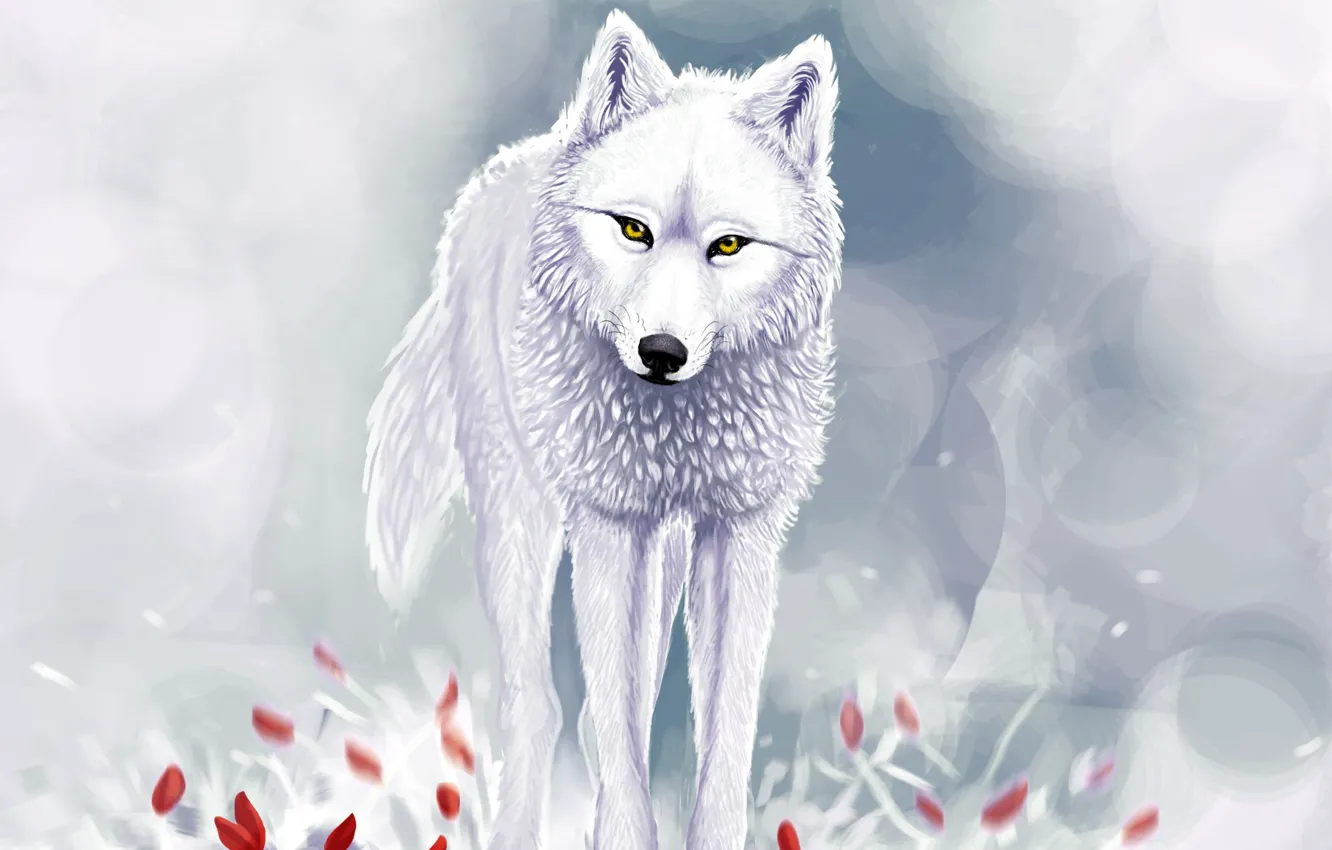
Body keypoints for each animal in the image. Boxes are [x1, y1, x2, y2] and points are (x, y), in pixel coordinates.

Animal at [364, 11, 842, 850]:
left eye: (728, 245)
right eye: (633, 230)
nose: (662, 352)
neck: (676, 427)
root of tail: (515, 164)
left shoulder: (740, 531)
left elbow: (723, 729)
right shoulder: (609, 525)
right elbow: (613, 730)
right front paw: (622, 835)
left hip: (667, 549)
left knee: (613, 708)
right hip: (520, 517)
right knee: (538, 704)